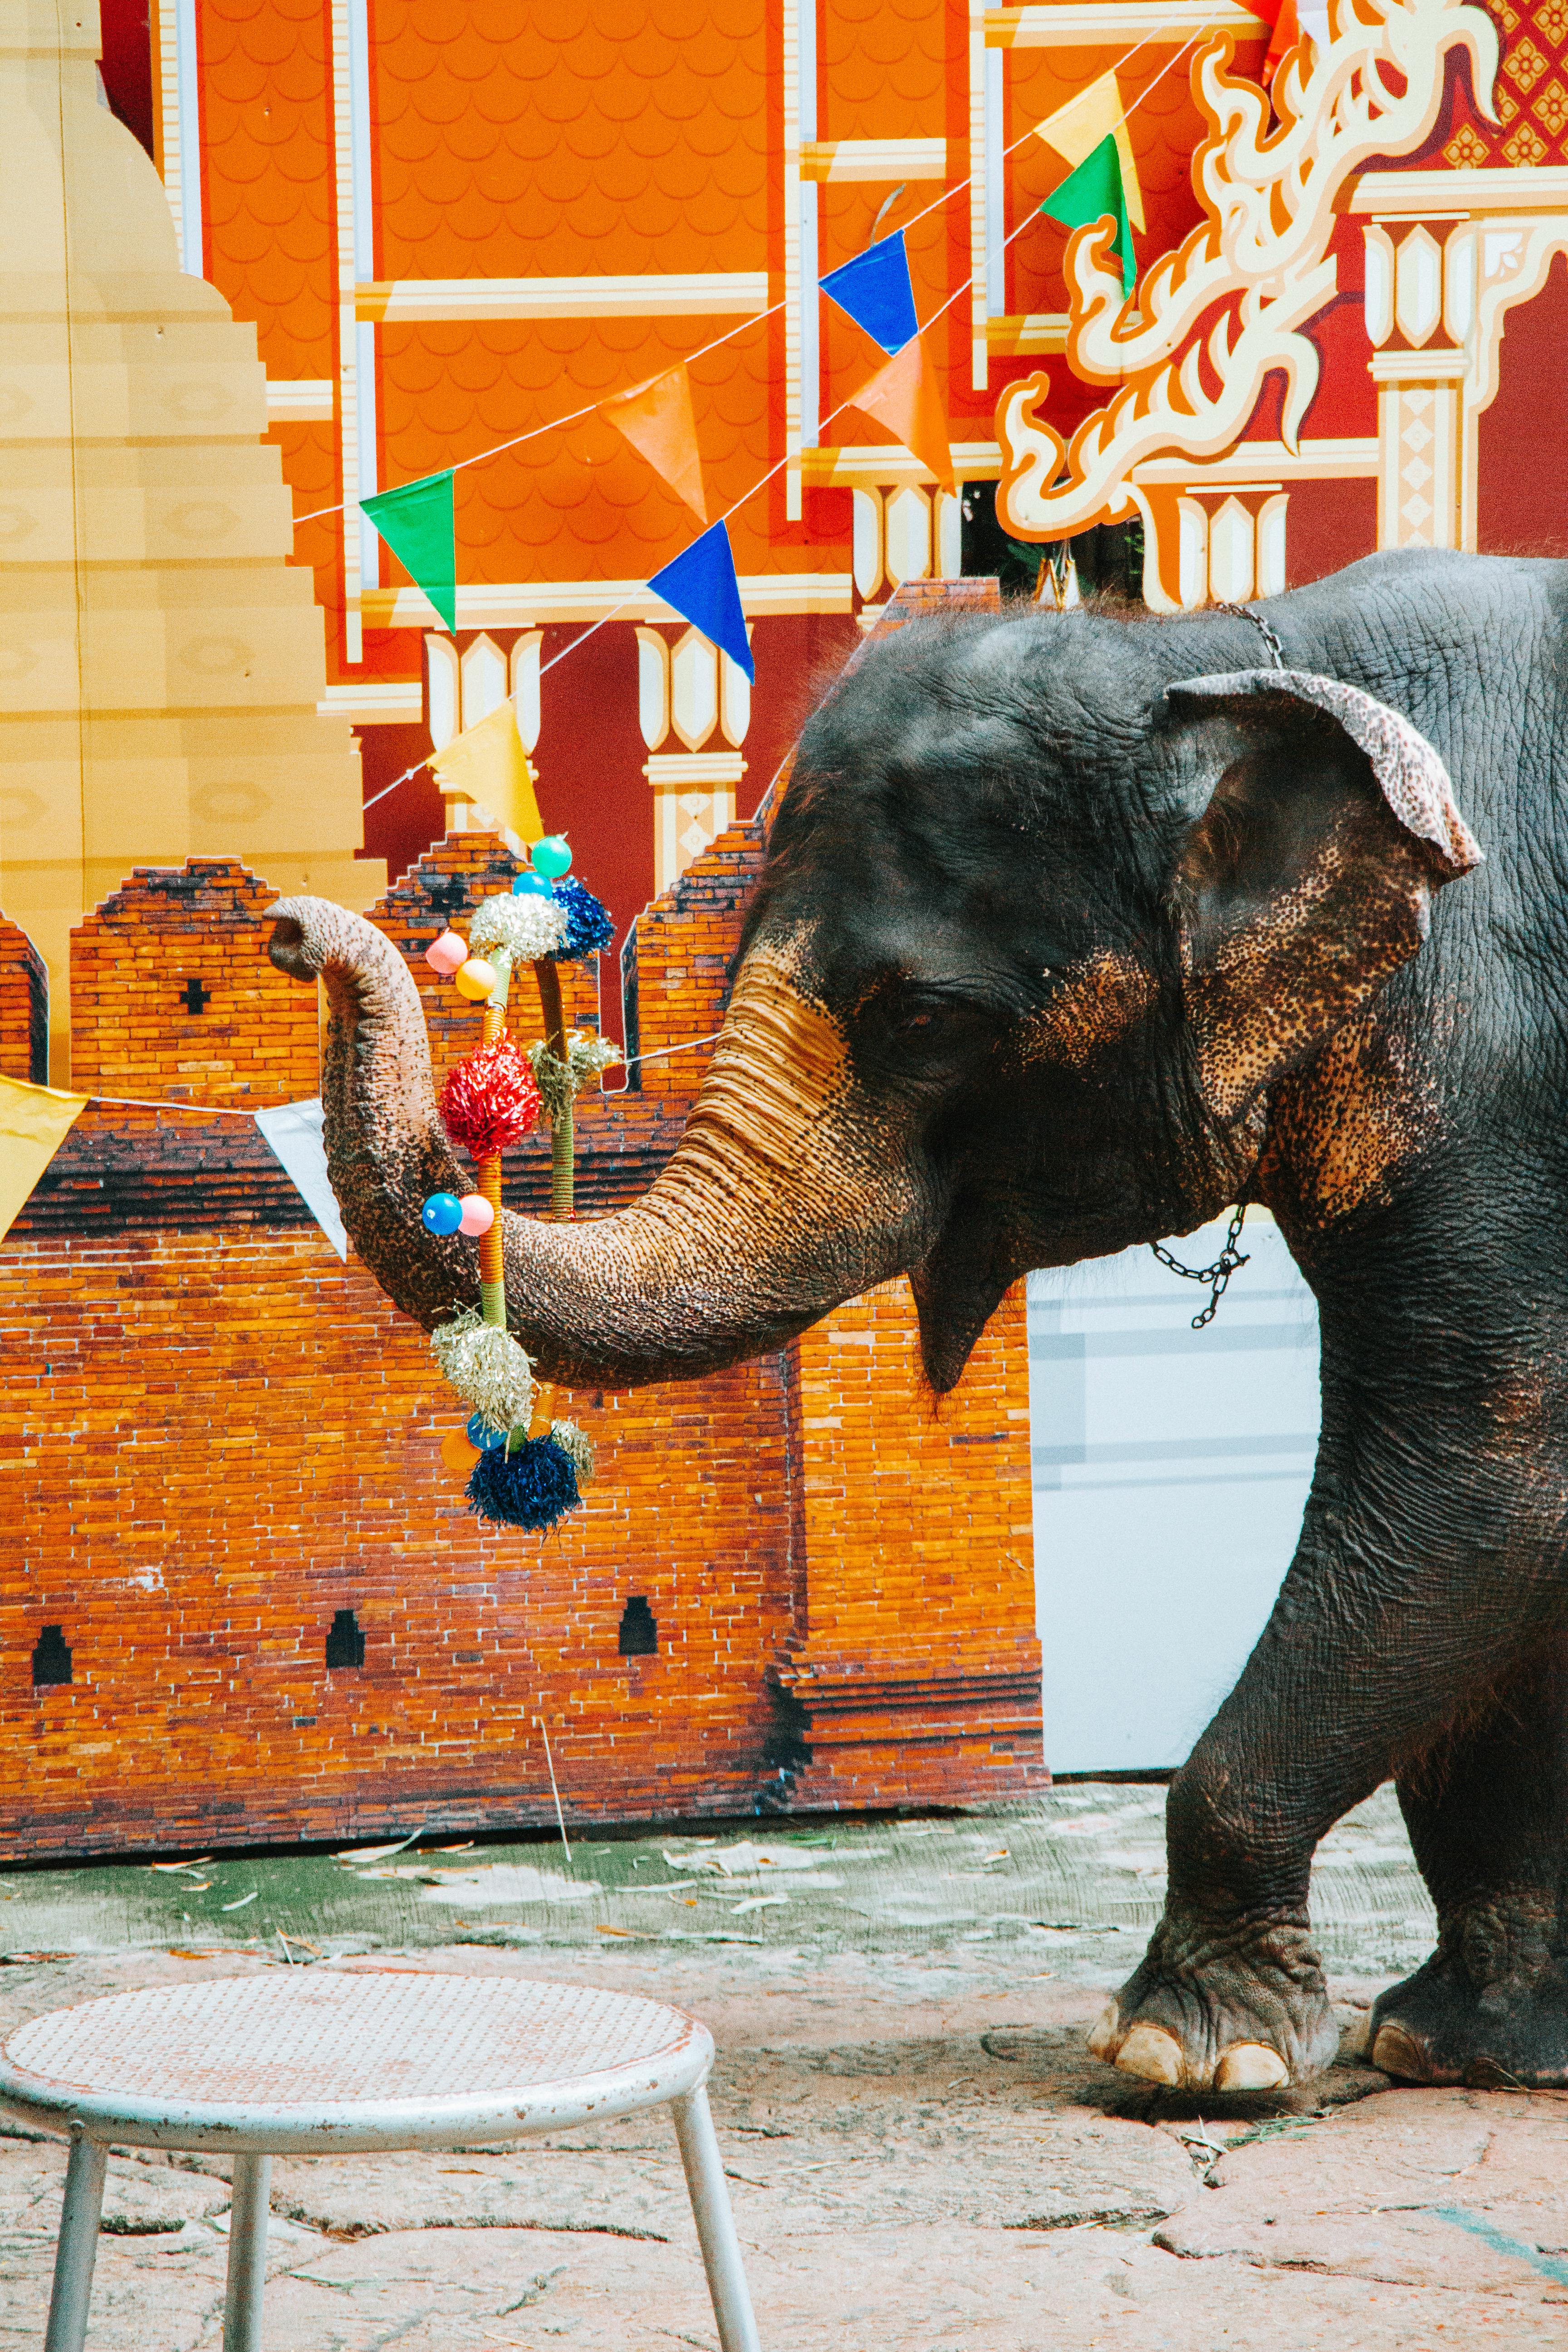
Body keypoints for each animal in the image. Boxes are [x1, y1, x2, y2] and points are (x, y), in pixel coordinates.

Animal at [263, 550, 1568, 2098]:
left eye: (927, 1020)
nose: (293, 926)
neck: (1220, 652)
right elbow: (1485, 1529)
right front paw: (1463, 2047)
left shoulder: (1498, 1081)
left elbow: (1483, 1480)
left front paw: (1185, 2059)